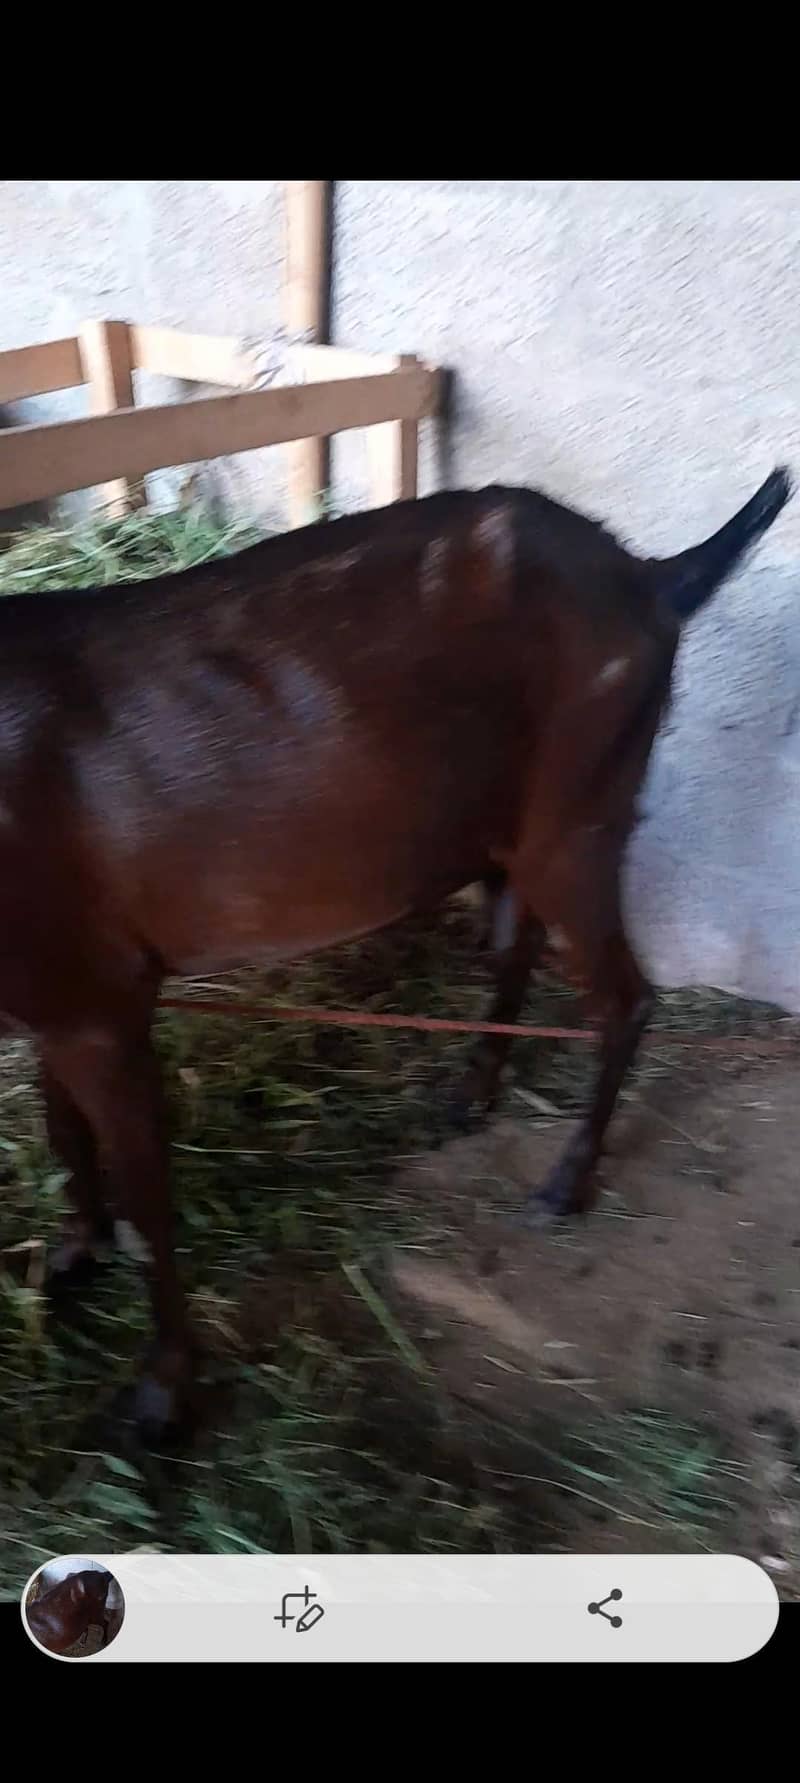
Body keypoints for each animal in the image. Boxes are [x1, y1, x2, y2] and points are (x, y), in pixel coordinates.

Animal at [0, 467, 790, 1435]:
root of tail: (652, 577)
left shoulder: (101, 999)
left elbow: (146, 1194)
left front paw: (162, 1391)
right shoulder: (54, 986)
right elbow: (60, 1126)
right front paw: (70, 1254)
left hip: (583, 804)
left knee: (625, 996)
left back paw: (563, 1184)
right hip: (511, 820)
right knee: (519, 939)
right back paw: (470, 1093)